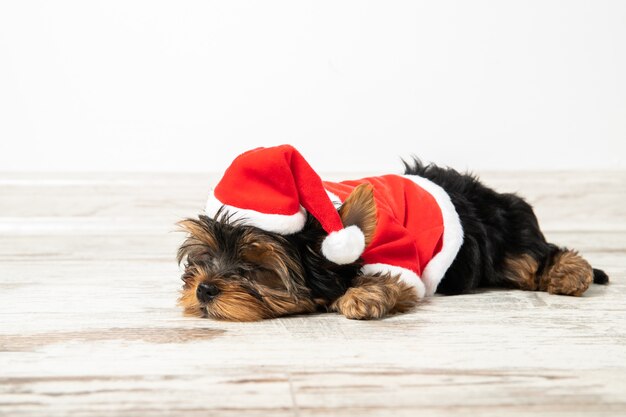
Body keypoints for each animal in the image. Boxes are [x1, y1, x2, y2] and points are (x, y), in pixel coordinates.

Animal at [178, 145, 608, 320]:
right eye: (204, 258)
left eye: (256, 267)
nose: (205, 289)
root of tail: (488, 193)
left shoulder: (399, 254)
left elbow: (391, 277)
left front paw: (362, 297)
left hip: (504, 233)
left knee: (531, 255)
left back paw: (569, 272)